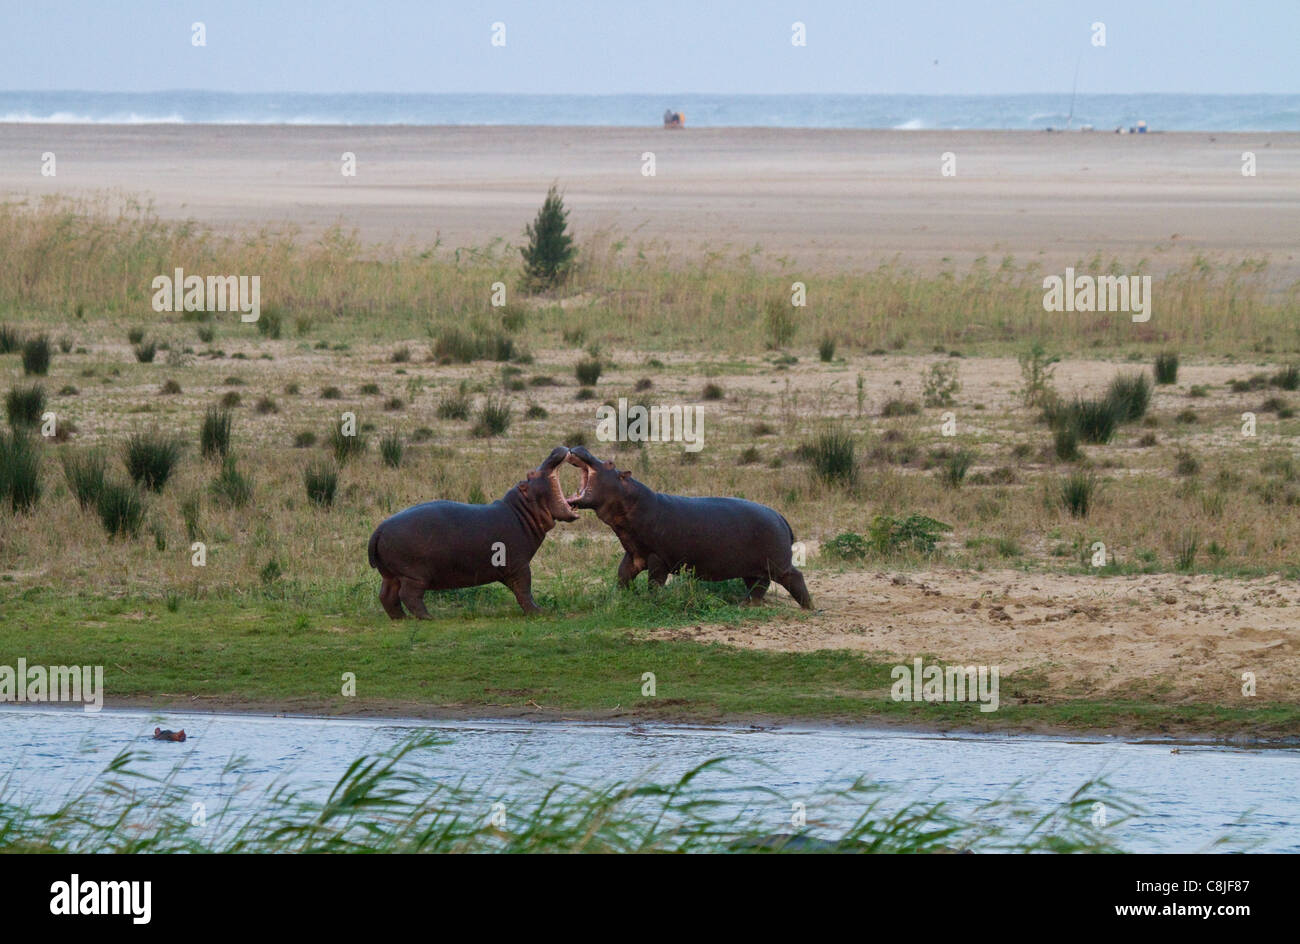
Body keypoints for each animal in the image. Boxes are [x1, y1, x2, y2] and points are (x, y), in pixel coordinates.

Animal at [369, 447, 577, 616]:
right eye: (531, 474)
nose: (554, 450)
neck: (521, 512)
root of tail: (379, 529)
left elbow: (519, 590)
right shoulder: (519, 565)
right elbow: (525, 589)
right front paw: (539, 612)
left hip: (390, 573)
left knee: (387, 595)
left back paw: (401, 618)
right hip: (414, 574)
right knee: (408, 595)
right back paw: (428, 617)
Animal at [569, 447, 811, 611]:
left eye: (610, 463)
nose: (580, 447)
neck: (629, 499)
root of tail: (780, 516)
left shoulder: (658, 557)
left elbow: (654, 583)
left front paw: (651, 602)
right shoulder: (635, 553)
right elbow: (622, 576)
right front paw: (618, 598)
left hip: (779, 564)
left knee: (795, 577)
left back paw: (808, 607)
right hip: (754, 567)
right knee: (758, 585)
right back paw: (745, 604)